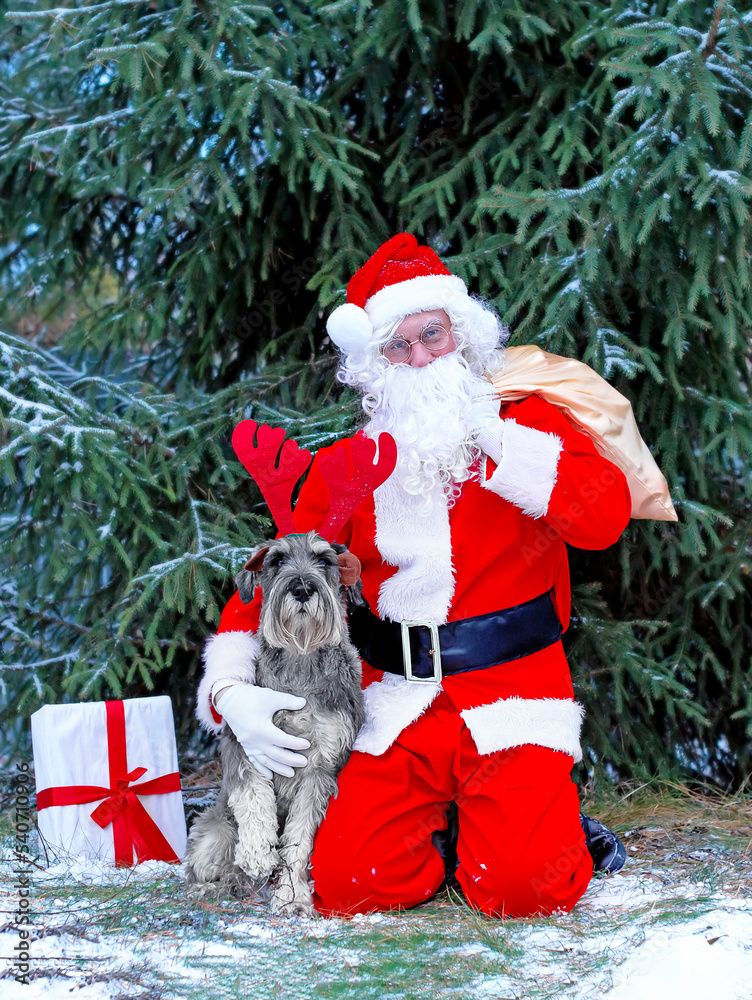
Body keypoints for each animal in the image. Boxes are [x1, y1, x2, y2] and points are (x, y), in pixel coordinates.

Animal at [187, 532, 366, 916]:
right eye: (277, 561)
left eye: (324, 561)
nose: (301, 588)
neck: (300, 661)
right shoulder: (246, 744)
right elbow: (253, 797)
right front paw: (257, 852)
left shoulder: (321, 766)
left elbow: (299, 837)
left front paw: (293, 897)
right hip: (213, 831)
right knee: (205, 866)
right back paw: (212, 887)